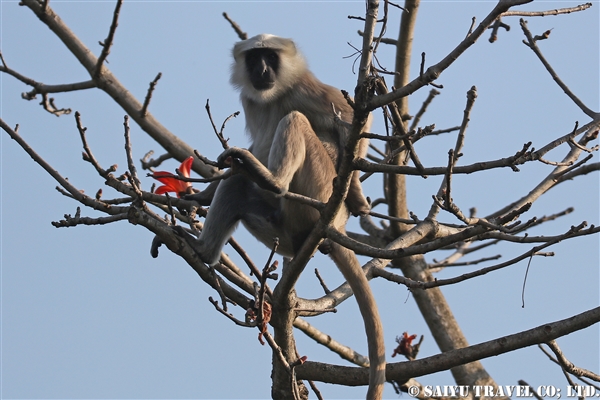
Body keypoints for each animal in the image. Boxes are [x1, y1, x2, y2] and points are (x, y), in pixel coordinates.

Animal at [186, 35, 384, 400]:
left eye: (271, 57)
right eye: (254, 59)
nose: (262, 70)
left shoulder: (305, 88)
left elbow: (353, 116)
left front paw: (357, 195)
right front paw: (201, 196)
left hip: (316, 190)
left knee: (294, 121)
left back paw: (274, 181)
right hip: (281, 226)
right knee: (238, 182)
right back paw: (204, 250)